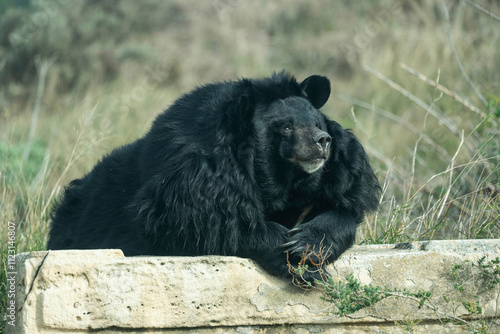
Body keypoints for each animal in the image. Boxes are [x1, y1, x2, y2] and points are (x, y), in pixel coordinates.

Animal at [48, 72, 380, 282]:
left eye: (317, 123)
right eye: (286, 127)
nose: (323, 142)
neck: (277, 181)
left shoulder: (337, 174)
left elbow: (342, 208)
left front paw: (306, 243)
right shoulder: (193, 184)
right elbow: (217, 222)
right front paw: (302, 265)